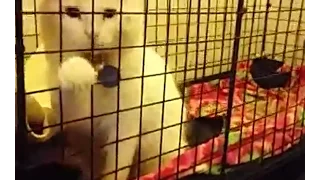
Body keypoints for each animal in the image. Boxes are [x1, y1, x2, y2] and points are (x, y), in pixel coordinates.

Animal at [36, 0, 189, 179]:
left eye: (109, 13)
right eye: (72, 12)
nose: (92, 33)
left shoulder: (124, 128)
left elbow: (116, 168)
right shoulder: (75, 126)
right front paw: (75, 70)